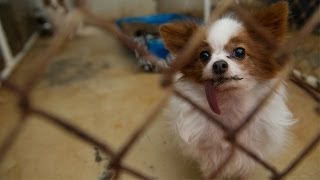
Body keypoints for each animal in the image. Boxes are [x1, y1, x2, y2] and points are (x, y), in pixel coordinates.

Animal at [160, 2, 296, 179]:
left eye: (240, 52)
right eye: (204, 55)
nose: (218, 65)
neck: (230, 102)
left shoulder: (250, 153)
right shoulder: (211, 157)